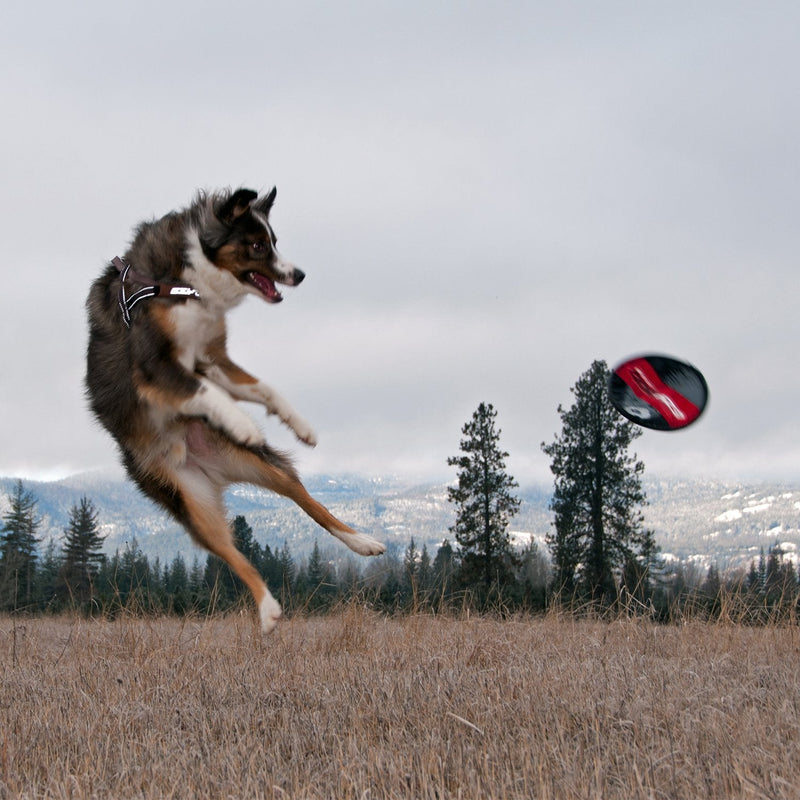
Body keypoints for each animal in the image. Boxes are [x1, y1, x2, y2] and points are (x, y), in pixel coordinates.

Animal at [86, 186, 386, 632]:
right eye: (257, 245)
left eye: (274, 240)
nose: (299, 275)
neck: (185, 279)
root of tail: (212, 469)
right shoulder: (155, 366)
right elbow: (204, 392)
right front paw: (241, 422)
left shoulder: (212, 358)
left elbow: (262, 387)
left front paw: (300, 425)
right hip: (193, 507)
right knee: (236, 557)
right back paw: (268, 609)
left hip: (263, 468)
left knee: (307, 502)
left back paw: (360, 542)